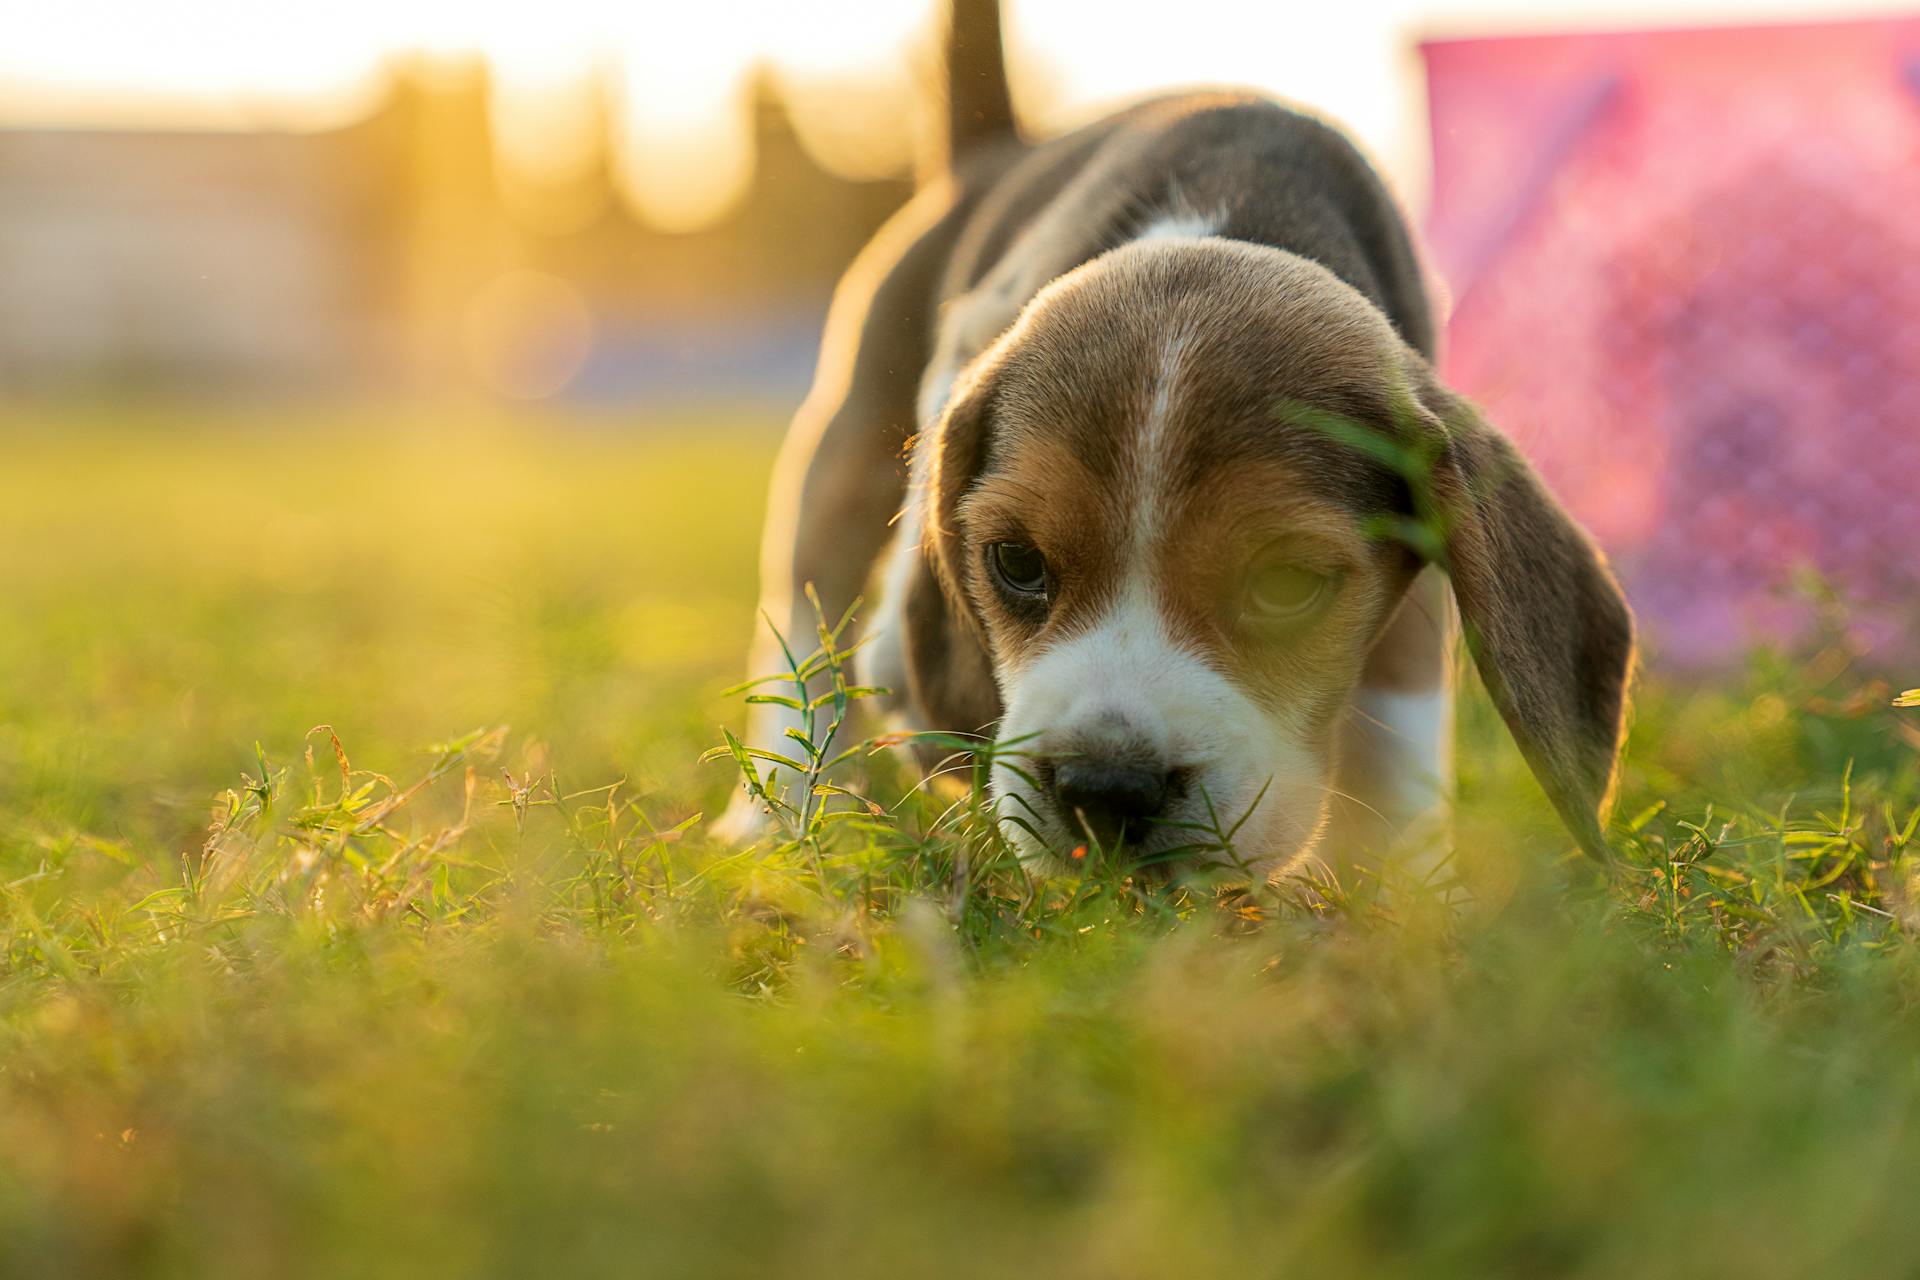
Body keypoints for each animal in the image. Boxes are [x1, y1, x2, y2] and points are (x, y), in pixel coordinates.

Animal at [721, 0, 1635, 882]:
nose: (1105, 790)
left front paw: (1407, 891)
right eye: (1015, 562)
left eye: (1287, 582)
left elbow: (1402, 733)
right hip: (844, 463)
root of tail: (993, 149)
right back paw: (773, 822)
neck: (1230, 214)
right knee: (806, 646)